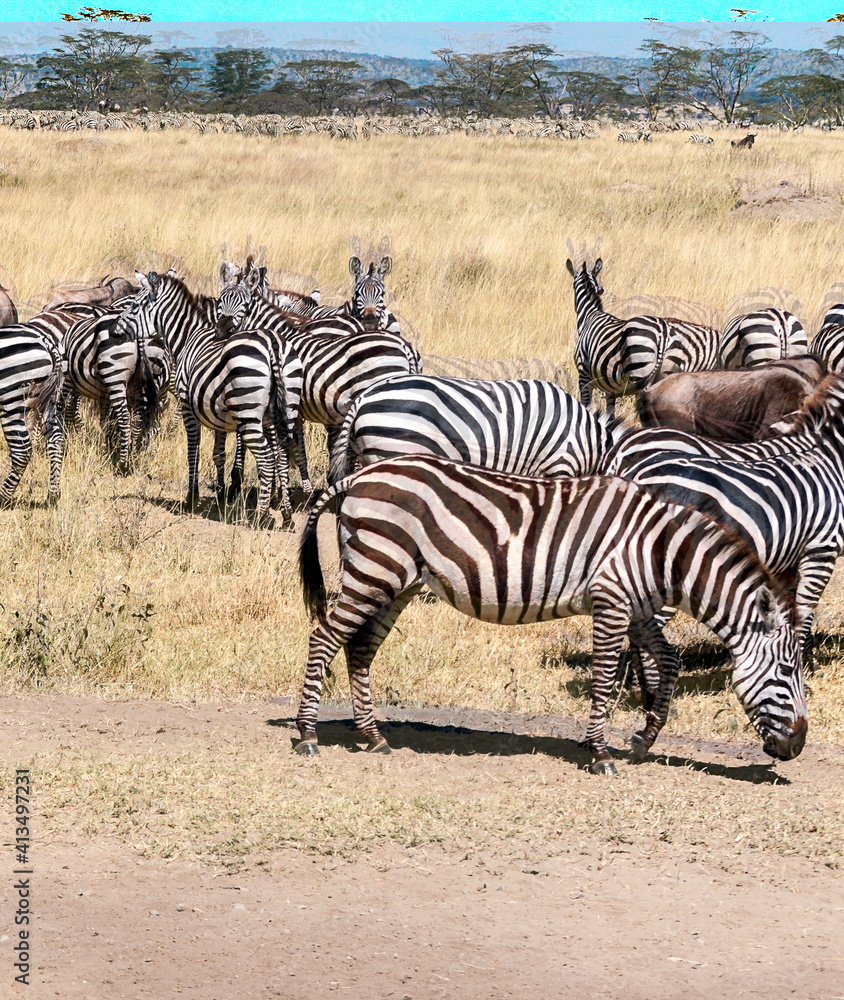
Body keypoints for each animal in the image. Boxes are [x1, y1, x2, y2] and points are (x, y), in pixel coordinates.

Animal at [132, 270, 304, 528]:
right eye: (221, 300)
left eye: (134, 306)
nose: (116, 328)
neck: (187, 338)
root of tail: (273, 345)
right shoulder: (218, 415)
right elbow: (218, 454)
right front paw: (222, 494)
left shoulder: (188, 406)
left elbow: (193, 449)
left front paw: (192, 497)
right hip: (286, 410)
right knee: (281, 455)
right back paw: (286, 513)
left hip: (250, 414)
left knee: (266, 458)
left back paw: (262, 515)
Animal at [296, 458, 804, 768]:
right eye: (786, 670)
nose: (797, 747)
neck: (661, 552)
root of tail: (359, 476)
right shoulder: (612, 601)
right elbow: (604, 678)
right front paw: (600, 754)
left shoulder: (639, 609)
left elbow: (670, 662)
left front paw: (644, 739)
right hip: (374, 568)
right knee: (323, 637)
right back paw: (307, 735)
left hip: (396, 580)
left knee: (359, 648)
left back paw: (373, 736)